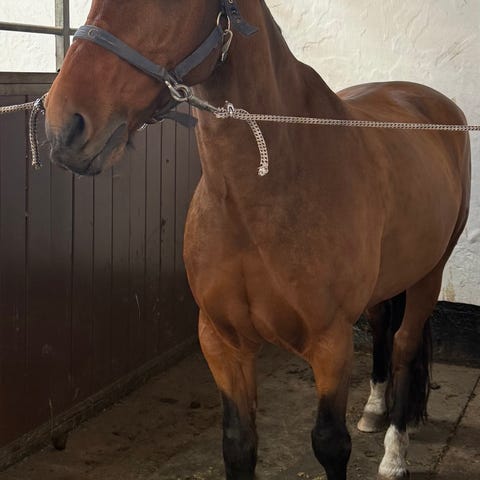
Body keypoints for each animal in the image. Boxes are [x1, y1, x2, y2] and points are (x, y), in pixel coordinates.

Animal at [43, 1, 471, 479]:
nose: (65, 125)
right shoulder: (222, 340)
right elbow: (238, 443)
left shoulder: (331, 343)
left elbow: (330, 444)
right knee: (381, 328)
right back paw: (375, 410)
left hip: (430, 274)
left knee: (404, 345)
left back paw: (395, 450)